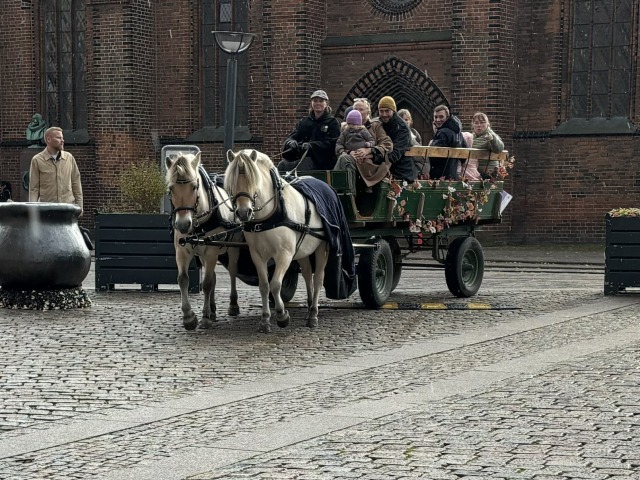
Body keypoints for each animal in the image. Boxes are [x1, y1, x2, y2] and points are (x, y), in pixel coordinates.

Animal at [166, 154, 241, 330]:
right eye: (171, 188)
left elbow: (206, 283)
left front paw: (205, 317)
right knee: (213, 276)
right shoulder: (182, 251)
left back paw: (233, 305)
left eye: (194, 187)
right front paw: (189, 317)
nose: (183, 225)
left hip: (232, 248)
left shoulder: (211, 252)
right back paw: (213, 309)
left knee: (232, 271)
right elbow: (183, 279)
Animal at [224, 148, 330, 332]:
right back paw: (309, 308)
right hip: (303, 250)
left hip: (322, 247)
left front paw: (282, 316)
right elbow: (264, 285)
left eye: (254, 181)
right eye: (232, 183)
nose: (244, 212)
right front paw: (265, 320)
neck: (268, 217)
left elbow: (275, 284)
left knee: (318, 278)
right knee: (307, 274)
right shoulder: (257, 255)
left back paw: (313, 315)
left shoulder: (284, 254)